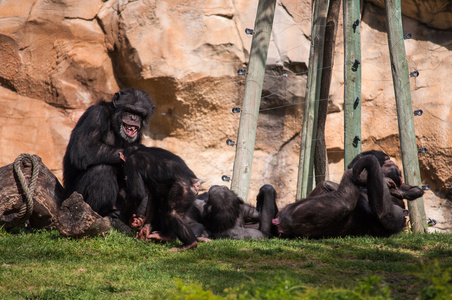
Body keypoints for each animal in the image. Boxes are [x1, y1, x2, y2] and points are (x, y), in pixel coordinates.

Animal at [62, 89, 155, 218]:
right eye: (128, 110)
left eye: (140, 114)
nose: (133, 118)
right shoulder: (96, 115)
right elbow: (83, 147)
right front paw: (139, 151)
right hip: (74, 195)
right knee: (101, 169)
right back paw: (103, 212)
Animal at [270, 151, 426, 238]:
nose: (397, 172)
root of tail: (280, 225)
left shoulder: (397, 215)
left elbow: (384, 213)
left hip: (295, 214)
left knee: (342, 200)